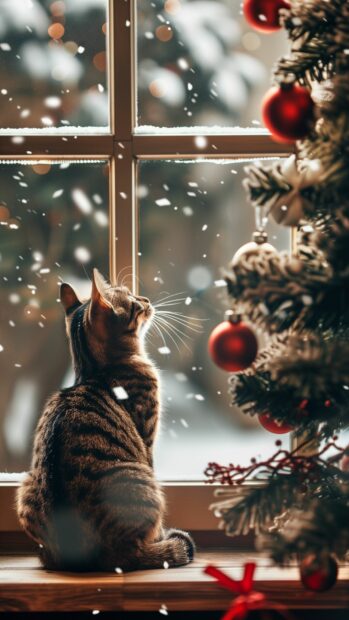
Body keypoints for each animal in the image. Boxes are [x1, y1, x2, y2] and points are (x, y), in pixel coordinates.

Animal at [16, 270, 194, 572]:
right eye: (133, 302)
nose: (146, 299)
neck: (94, 370)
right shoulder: (147, 440)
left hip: (26, 487)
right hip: (142, 479)